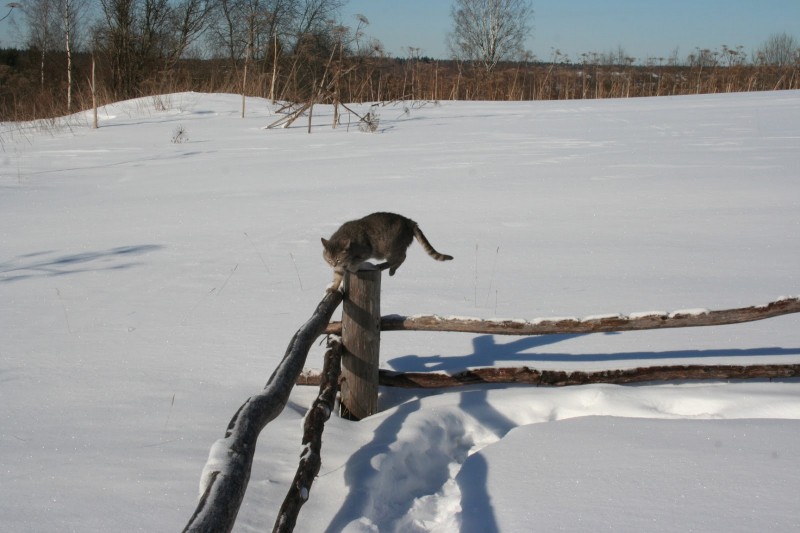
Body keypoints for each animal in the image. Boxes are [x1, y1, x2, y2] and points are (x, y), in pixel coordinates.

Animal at [322, 211, 454, 290]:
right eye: (329, 260)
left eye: (338, 259)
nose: (333, 265)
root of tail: (409, 221)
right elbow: (337, 276)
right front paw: (333, 287)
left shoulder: (366, 251)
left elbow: (354, 262)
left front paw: (352, 268)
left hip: (391, 248)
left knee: (402, 257)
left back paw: (389, 269)